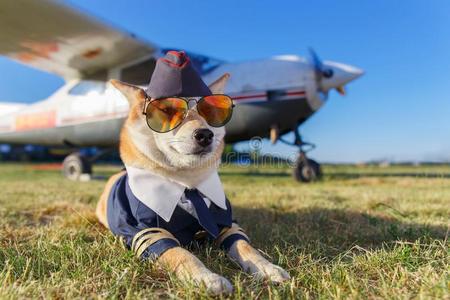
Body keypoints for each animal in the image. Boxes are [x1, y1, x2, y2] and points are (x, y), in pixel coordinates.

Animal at [96, 50, 290, 294]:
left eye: (211, 110)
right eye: (167, 110)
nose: (205, 134)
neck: (187, 183)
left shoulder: (226, 224)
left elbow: (245, 246)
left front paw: (267, 267)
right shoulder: (146, 232)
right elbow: (181, 254)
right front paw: (207, 277)